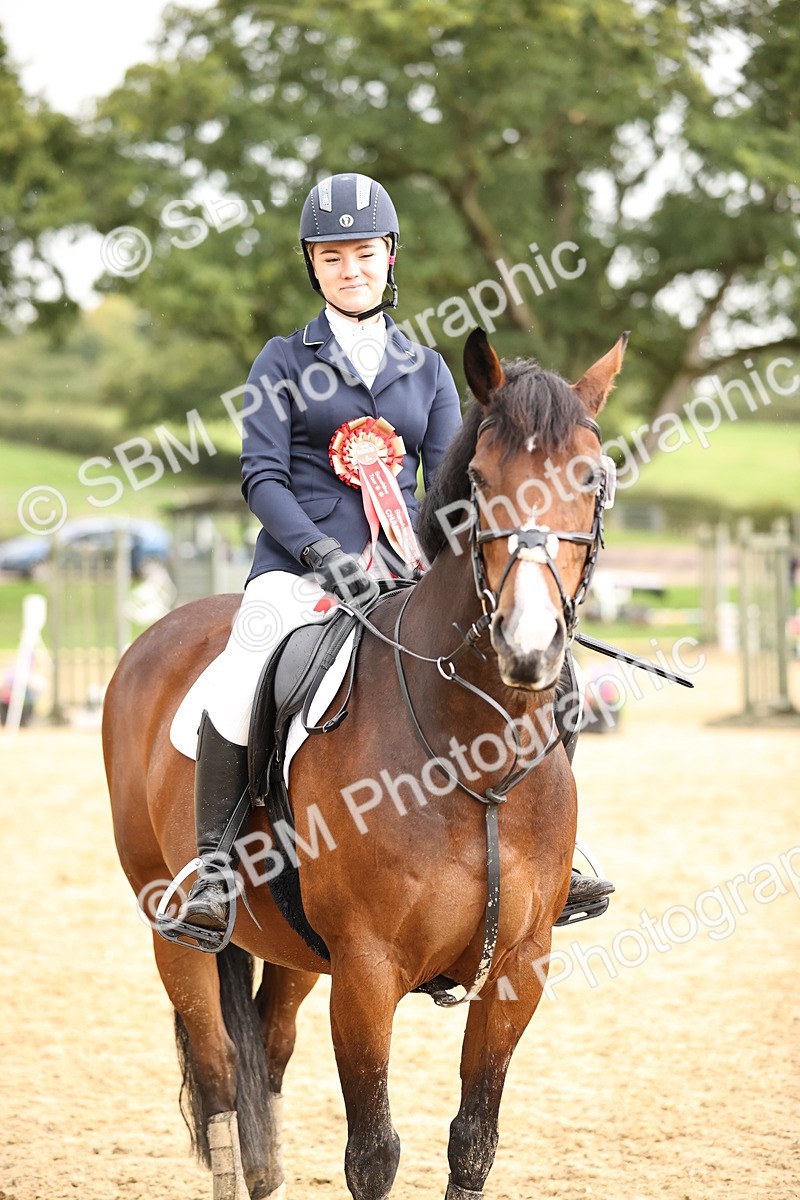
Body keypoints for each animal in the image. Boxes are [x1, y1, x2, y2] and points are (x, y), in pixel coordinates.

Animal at [103, 326, 626, 1200]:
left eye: (590, 477)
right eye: (479, 483)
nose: (528, 646)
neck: (477, 758)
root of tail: (162, 635)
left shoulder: (520, 968)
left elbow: (472, 1142)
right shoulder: (367, 972)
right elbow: (373, 1154)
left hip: (290, 949)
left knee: (265, 1064)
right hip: (173, 930)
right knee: (218, 1077)